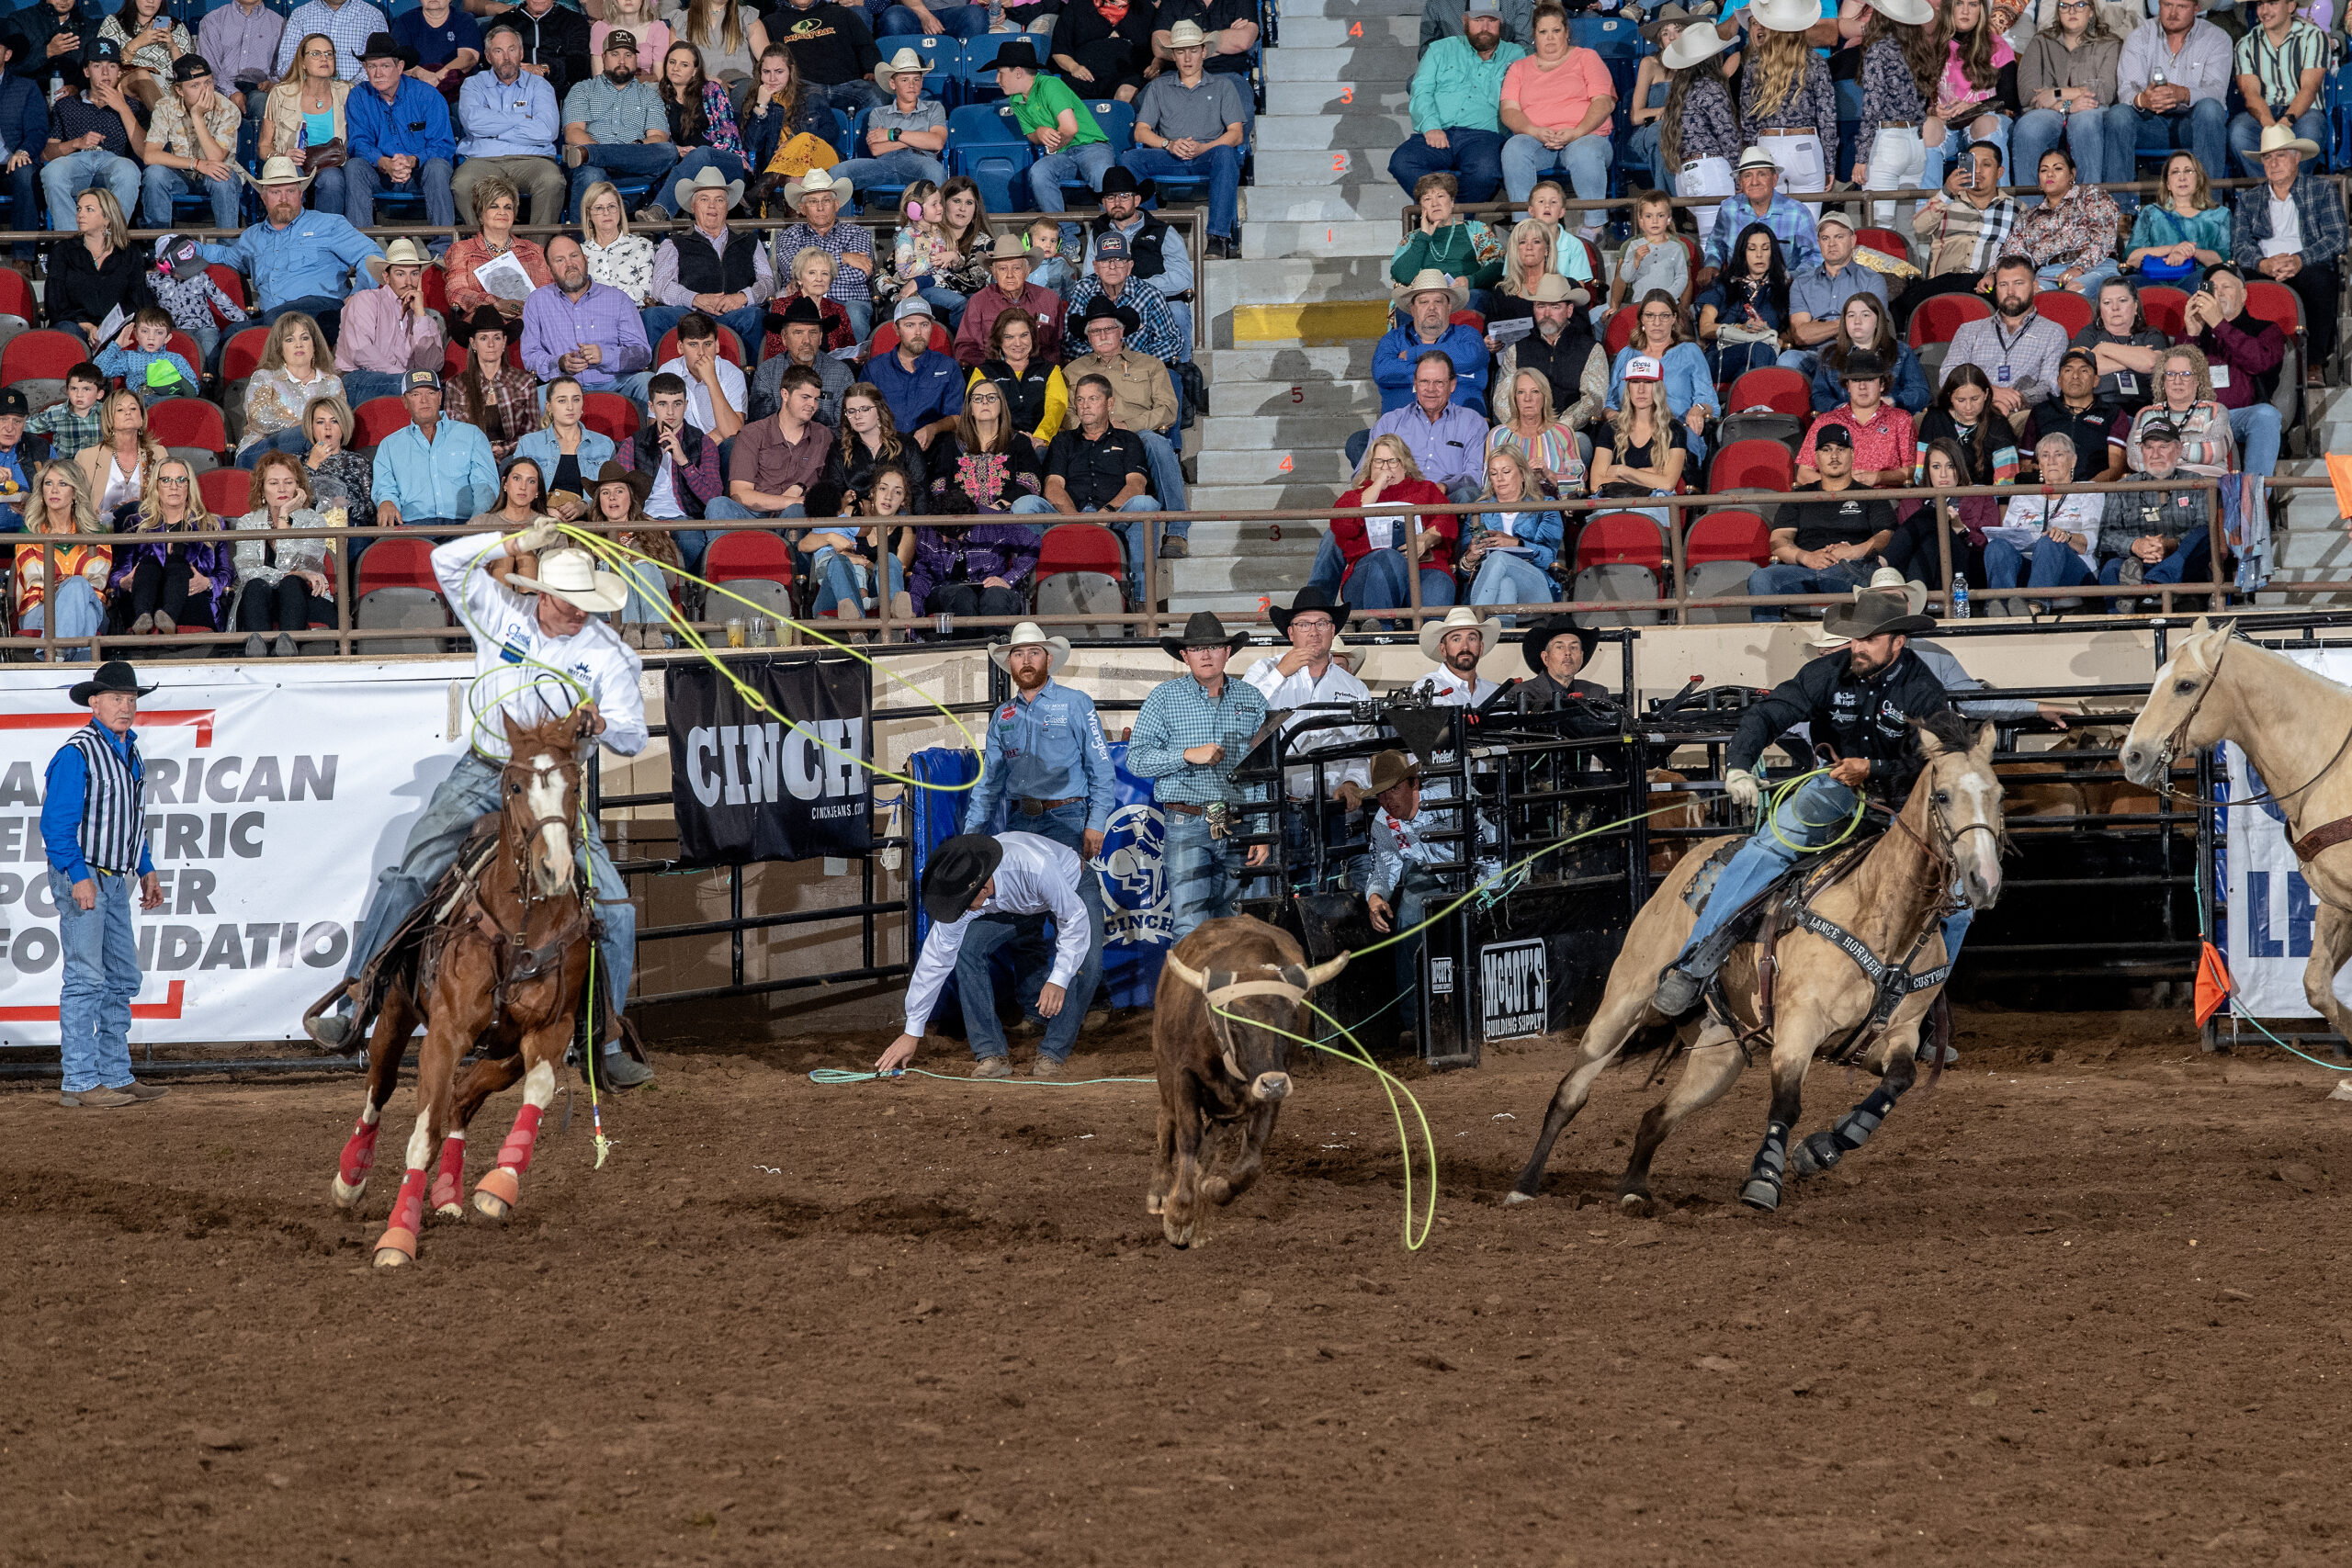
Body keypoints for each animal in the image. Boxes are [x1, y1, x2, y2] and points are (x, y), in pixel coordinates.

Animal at [324, 719, 616, 1269]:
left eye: (574, 785)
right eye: (517, 786)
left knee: (461, 1100)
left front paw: (498, 1186)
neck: (521, 930)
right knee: (380, 1090)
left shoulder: (550, 1030)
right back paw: (350, 1180)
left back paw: (449, 1194)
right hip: (396, 1014)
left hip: (504, 1054)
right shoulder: (445, 1035)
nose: (554, 869)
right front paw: (398, 1237)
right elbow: (421, 1135)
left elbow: (537, 1094)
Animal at [1505, 719, 2004, 1222]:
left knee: (1656, 1117)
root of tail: (1692, 857)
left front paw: (1820, 1150)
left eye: (1998, 794)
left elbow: (1898, 1082)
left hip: (1720, 1052)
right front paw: (1764, 1180)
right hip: (1625, 1002)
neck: (1885, 918)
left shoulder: (1895, 1033)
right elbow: (1787, 1102)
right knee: (1572, 1092)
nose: (1984, 880)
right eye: (1942, 795)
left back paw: (1633, 1190)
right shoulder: (1799, 1026)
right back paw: (1524, 1186)